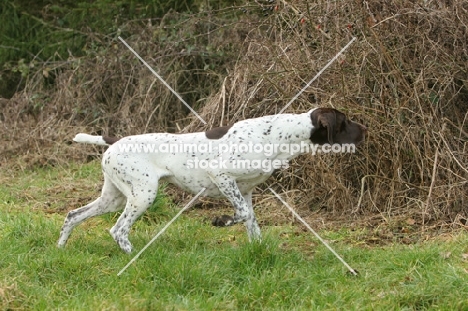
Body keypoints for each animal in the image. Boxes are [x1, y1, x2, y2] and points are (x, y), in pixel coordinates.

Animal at [57, 107, 366, 254]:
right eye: (346, 122)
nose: (365, 129)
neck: (278, 136)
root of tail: (115, 141)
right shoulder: (222, 175)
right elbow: (241, 215)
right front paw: (221, 221)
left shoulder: (246, 192)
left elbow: (252, 225)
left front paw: (258, 252)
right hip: (143, 194)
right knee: (118, 230)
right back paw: (133, 255)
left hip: (114, 197)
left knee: (73, 215)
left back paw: (60, 248)